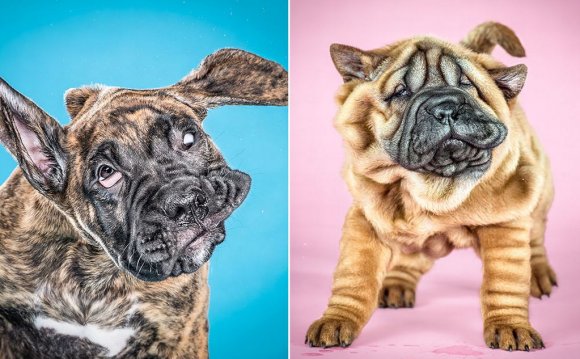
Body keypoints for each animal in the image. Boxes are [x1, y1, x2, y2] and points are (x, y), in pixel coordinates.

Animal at [306, 21, 556, 352]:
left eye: (467, 86)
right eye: (401, 92)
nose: (446, 107)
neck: (433, 185)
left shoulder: (505, 222)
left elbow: (503, 283)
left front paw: (511, 327)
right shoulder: (366, 221)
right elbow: (354, 277)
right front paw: (336, 320)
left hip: (539, 194)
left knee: (536, 237)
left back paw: (538, 275)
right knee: (410, 257)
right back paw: (396, 285)